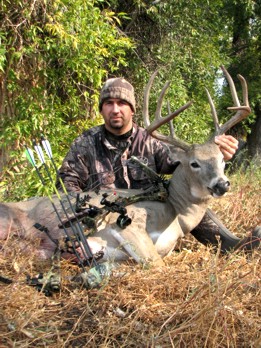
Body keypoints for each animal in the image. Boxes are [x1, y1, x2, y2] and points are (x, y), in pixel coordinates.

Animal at [0, 66, 255, 266]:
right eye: (194, 163)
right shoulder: (126, 224)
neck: (176, 213)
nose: (222, 184)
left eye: (222, 160)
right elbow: (156, 265)